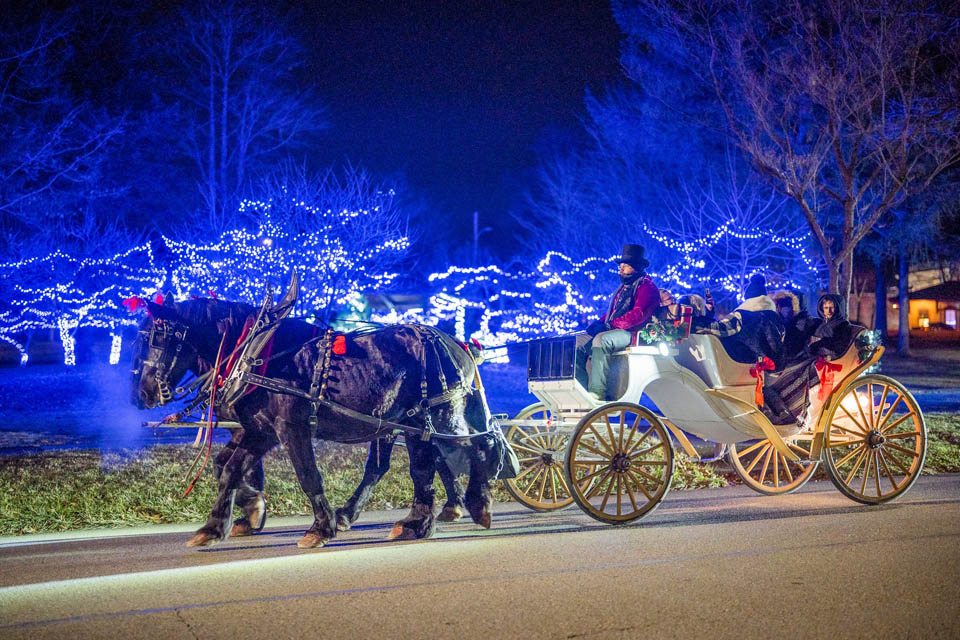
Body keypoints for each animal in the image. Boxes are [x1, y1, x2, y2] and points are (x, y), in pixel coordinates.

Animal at [130, 292, 492, 548]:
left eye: (156, 339)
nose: (140, 395)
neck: (255, 354)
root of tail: (457, 343)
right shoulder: (260, 430)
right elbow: (229, 469)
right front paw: (221, 523)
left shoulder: (291, 428)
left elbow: (308, 476)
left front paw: (320, 527)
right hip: (411, 424)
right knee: (416, 467)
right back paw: (415, 522)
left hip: (438, 416)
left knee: (477, 445)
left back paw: (474, 504)